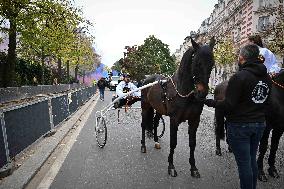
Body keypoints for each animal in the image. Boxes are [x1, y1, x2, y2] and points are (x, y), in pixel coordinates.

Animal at [140, 36, 215, 177]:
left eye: (212, 64)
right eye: (197, 63)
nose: (202, 93)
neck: (185, 93)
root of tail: (146, 80)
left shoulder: (194, 120)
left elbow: (192, 143)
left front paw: (193, 167)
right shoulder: (174, 120)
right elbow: (173, 142)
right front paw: (171, 166)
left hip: (158, 109)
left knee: (155, 122)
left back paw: (156, 141)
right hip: (145, 107)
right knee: (143, 125)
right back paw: (143, 146)